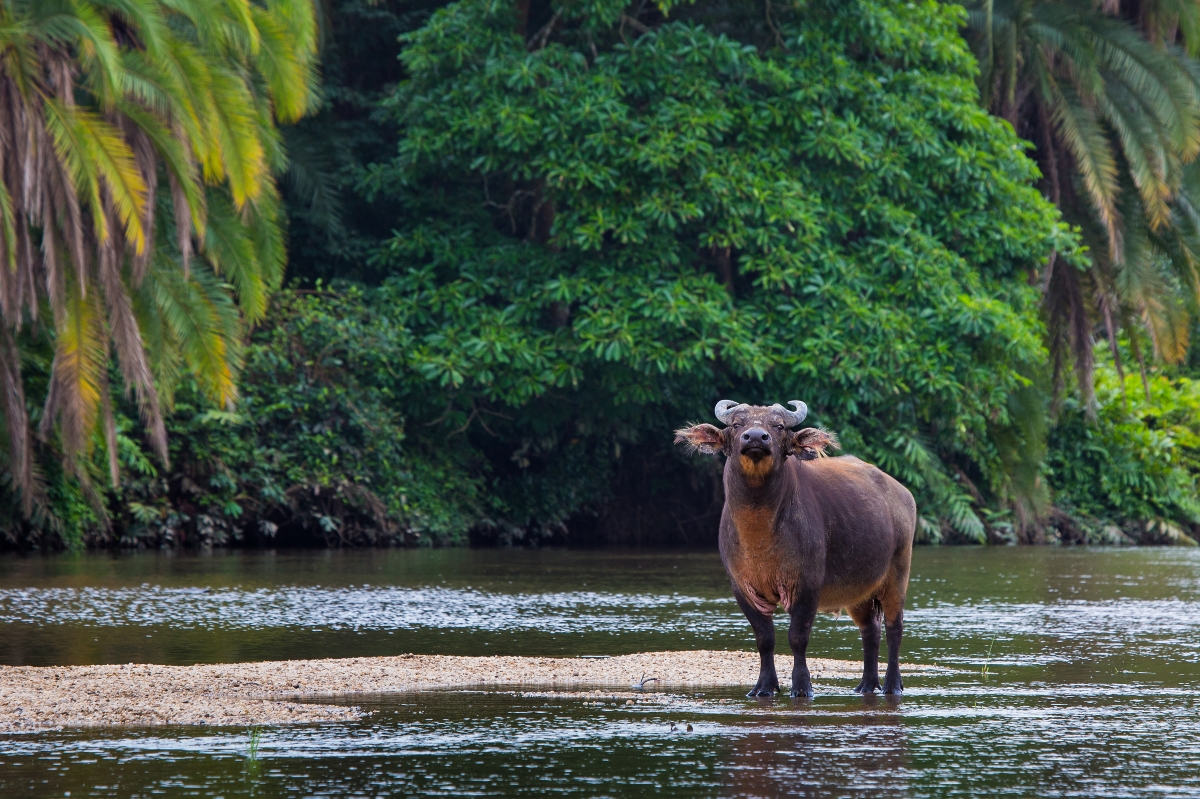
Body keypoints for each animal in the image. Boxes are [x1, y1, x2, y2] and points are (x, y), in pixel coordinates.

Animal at [676, 400, 916, 695]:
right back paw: (866, 685)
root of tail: (903, 494)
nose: (755, 438)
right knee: (870, 631)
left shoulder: (807, 586)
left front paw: (802, 686)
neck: (759, 537)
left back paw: (892, 685)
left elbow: (798, 638)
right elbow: (764, 639)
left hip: (897, 574)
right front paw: (764, 686)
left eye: (779, 426)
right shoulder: (742, 588)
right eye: (737, 424)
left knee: (895, 628)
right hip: (859, 592)